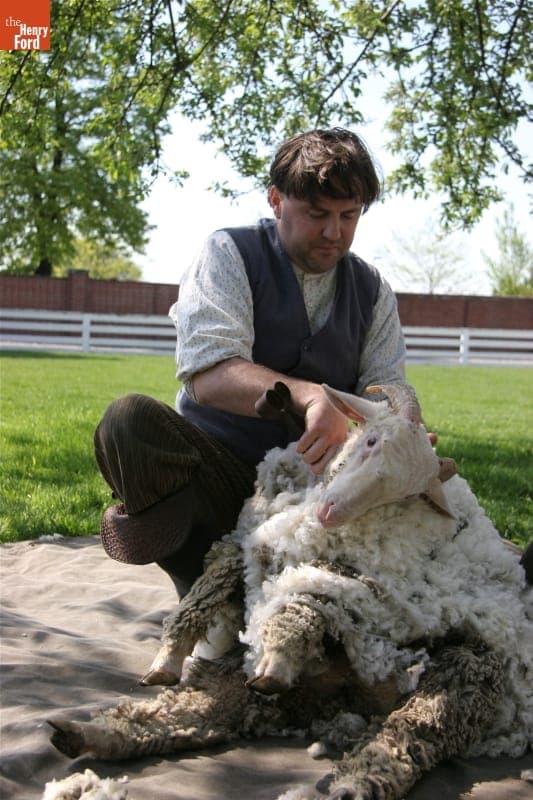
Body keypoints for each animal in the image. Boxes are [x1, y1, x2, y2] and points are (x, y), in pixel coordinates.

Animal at [48, 384, 532, 800]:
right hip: (270, 697)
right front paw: (167, 657)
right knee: (192, 714)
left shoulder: (353, 579)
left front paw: (276, 653)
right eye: (371, 441)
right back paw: (82, 733)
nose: (332, 512)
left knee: (408, 740)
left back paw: (348, 783)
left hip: (461, 678)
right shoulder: (244, 542)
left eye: (406, 492)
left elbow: (305, 603)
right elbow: (207, 588)